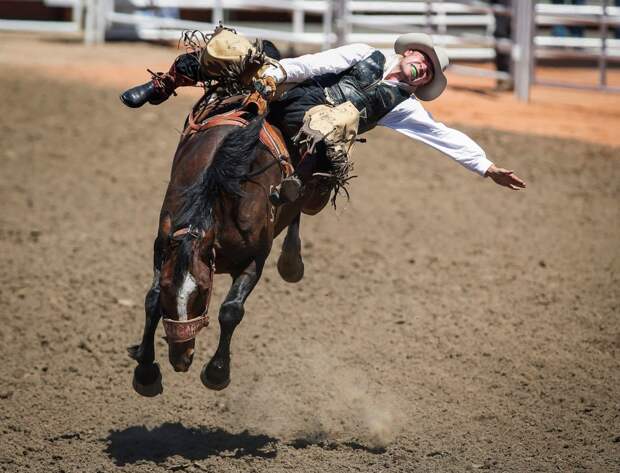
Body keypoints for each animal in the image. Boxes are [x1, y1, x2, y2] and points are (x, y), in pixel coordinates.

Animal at [128, 93, 332, 394]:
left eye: (202, 290)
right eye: (168, 288)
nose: (181, 359)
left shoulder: (255, 258)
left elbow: (231, 310)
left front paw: (216, 373)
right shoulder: (162, 247)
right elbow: (152, 300)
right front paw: (145, 370)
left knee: (296, 205)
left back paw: (291, 263)